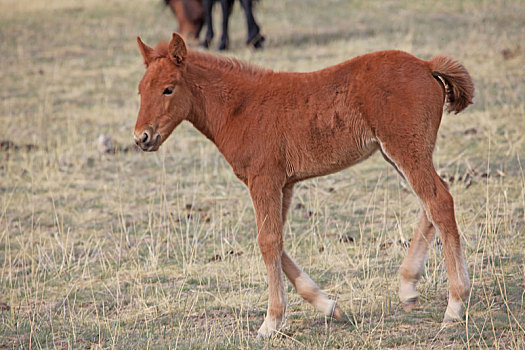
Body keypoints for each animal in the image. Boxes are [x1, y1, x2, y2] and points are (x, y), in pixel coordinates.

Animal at [133, 34, 472, 338]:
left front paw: (270, 323)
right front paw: (329, 306)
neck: (241, 107)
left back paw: (455, 304)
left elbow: (268, 241)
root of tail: (426, 65)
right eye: (140, 90)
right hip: (398, 154)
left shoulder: (264, 179)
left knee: (439, 202)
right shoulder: (285, 185)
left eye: (168, 89)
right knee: (431, 203)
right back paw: (408, 287)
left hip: (405, 150)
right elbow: (277, 241)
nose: (142, 138)